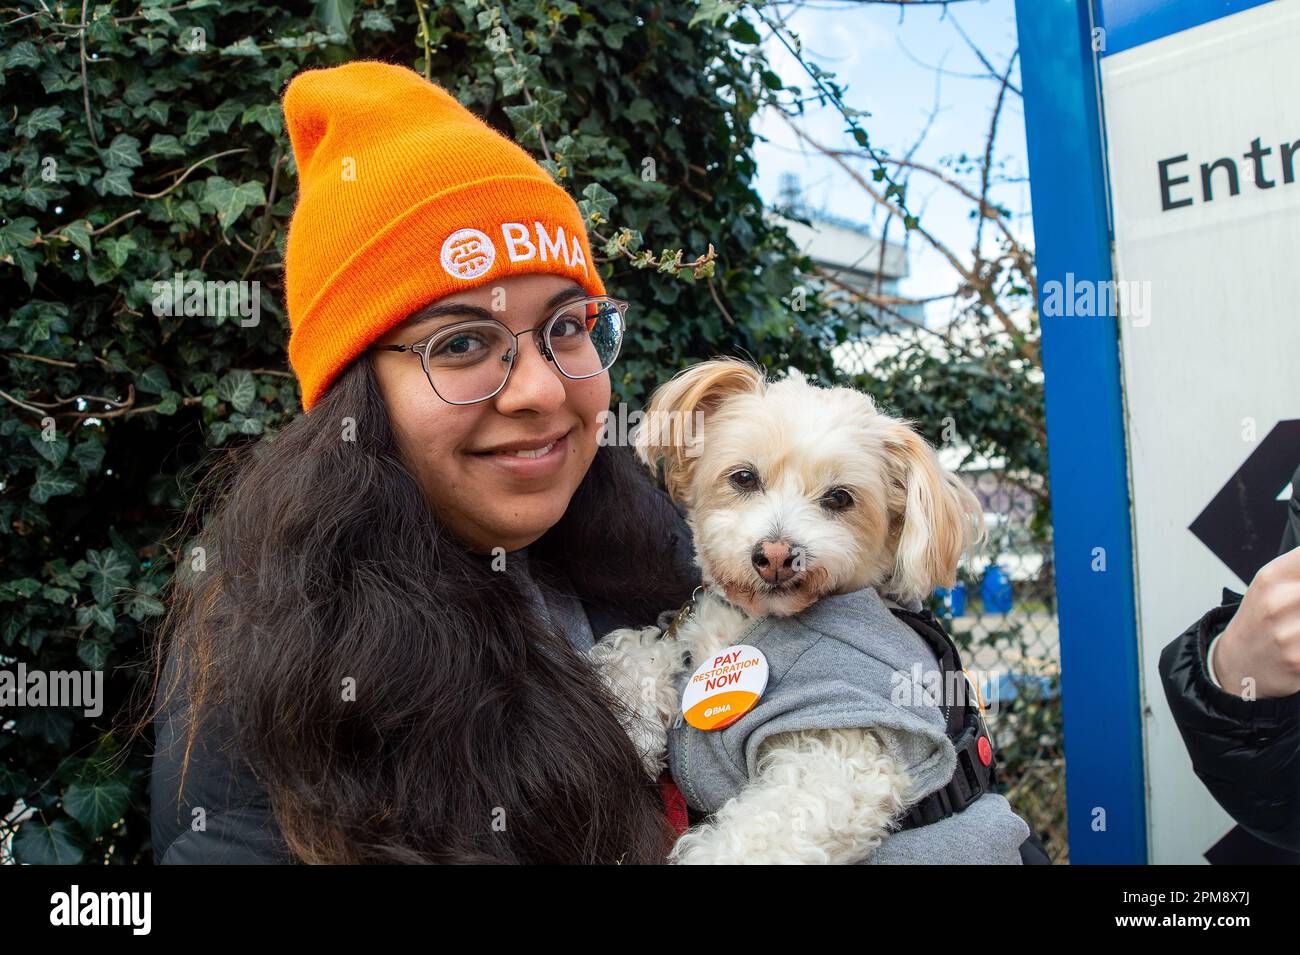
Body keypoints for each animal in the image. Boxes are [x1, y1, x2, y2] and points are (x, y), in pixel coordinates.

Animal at [590, 358, 982, 867]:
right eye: (743, 478)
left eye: (840, 498)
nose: (776, 555)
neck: (752, 624)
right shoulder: (690, 628)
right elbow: (638, 649)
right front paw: (631, 724)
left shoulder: (845, 747)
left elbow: (764, 831)